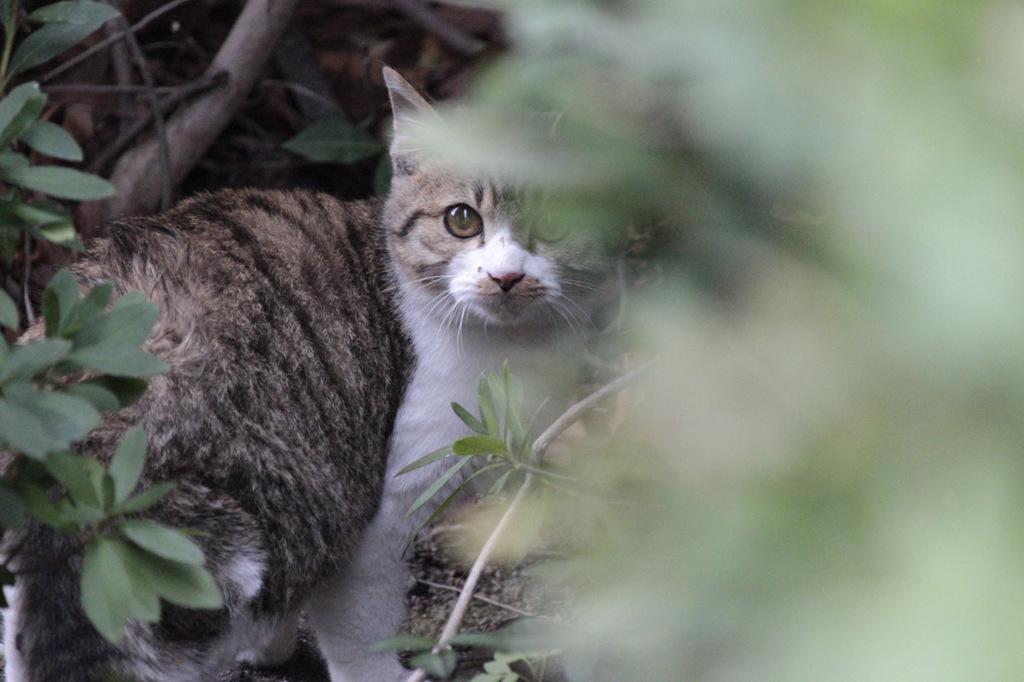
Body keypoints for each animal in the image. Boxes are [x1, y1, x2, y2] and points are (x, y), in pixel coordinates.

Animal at [0, 65, 610, 679]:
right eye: (462, 220)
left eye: (556, 223)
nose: (506, 277)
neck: (508, 345)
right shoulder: (380, 509)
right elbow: (359, 631)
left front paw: (269, 644)